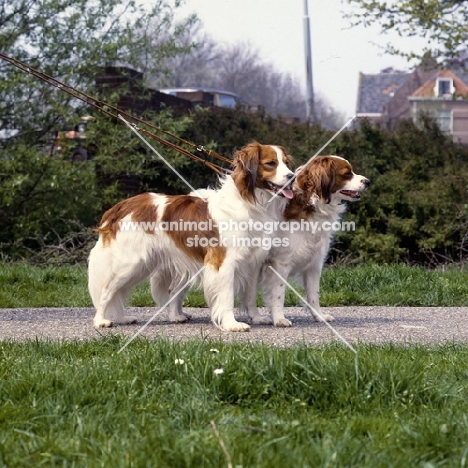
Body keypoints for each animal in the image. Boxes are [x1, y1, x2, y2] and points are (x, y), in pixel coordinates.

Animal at [88, 143, 292, 332]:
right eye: (271, 164)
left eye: (287, 163)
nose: (291, 176)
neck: (251, 202)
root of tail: (122, 206)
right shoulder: (224, 262)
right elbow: (226, 296)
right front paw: (231, 324)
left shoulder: (253, 263)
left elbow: (250, 296)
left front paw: (256, 318)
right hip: (131, 263)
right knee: (107, 291)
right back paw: (100, 320)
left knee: (126, 292)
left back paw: (134, 318)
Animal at [241, 155, 370, 328]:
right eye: (347, 173)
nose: (368, 181)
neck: (310, 202)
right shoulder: (280, 264)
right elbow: (278, 294)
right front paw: (279, 318)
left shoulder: (314, 264)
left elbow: (314, 294)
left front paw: (319, 316)